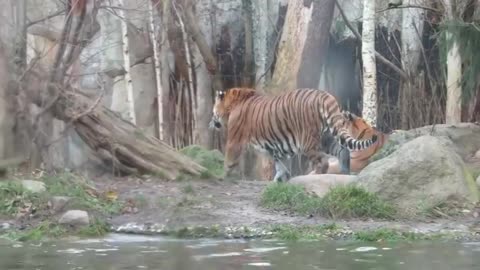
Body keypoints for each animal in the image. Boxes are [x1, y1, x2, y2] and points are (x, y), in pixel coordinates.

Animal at [210, 87, 378, 182]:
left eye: (213, 111)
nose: (211, 122)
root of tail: (324, 95)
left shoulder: (234, 140)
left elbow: (228, 159)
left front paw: (221, 175)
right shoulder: (276, 147)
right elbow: (280, 165)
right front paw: (279, 180)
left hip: (307, 142)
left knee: (322, 161)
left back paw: (313, 178)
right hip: (327, 137)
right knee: (344, 152)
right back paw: (344, 174)